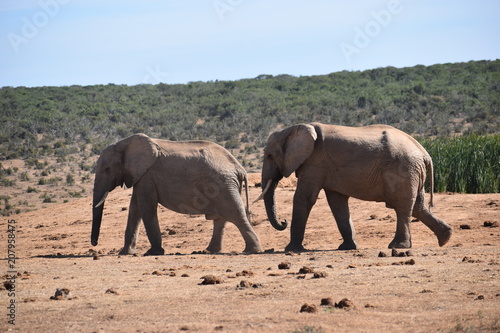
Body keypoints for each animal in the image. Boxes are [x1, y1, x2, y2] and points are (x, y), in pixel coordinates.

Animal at [92, 132, 262, 254]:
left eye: (107, 169)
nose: (94, 243)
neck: (124, 144)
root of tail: (239, 168)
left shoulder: (147, 175)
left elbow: (146, 207)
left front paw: (153, 253)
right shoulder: (140, 177)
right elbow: (135, 209)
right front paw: (126, 253)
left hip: (223, 185)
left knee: (235, 215)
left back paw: (251, 250)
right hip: (225, 186)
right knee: (221, 219)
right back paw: (209, 251)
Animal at [258, 123, 454, 250]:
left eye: (269, 155)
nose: (283, 221)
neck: (293, 129)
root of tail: (424, 152)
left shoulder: (315, 162)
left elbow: (304, 198)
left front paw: (291, 249)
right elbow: (337, 203)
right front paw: (347, 247)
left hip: (403, 169)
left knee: (403, 206)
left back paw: (398, 247)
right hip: (412, 172)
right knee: (417, 207)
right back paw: (445, 238)